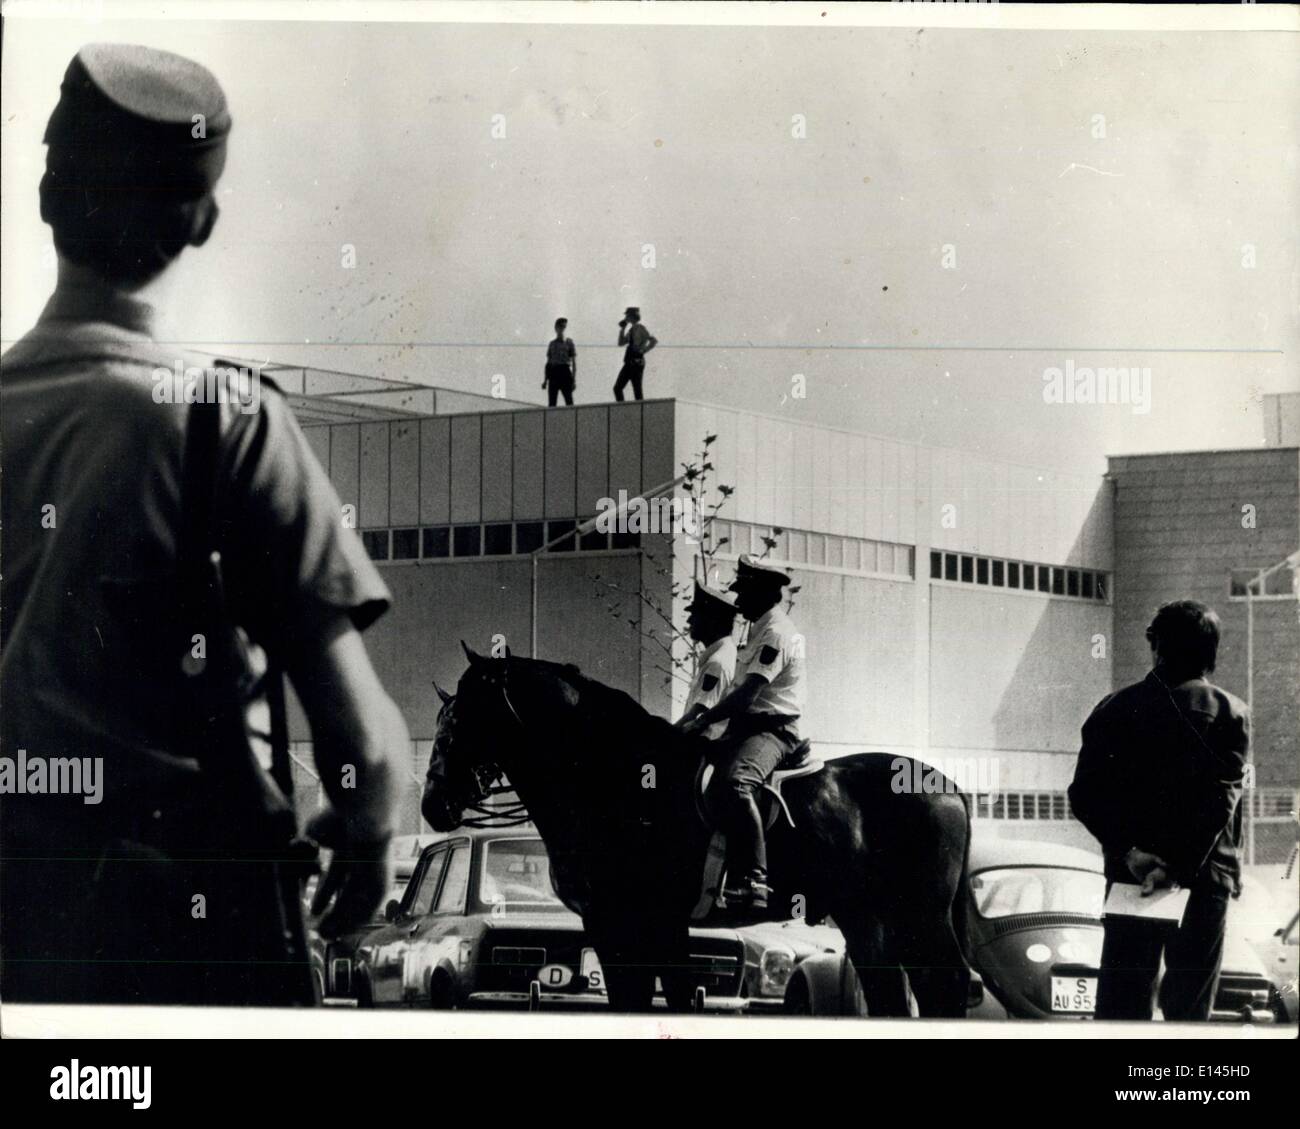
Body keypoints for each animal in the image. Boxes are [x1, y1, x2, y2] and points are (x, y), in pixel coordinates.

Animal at [421, 647, 972, 1019]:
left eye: (462, 718)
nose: (432, 806)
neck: (615, 780)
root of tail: (947, 786)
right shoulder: (632, 926)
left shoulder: (639, 922)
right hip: (866, 915)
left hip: (919, 915)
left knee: (943, 987)